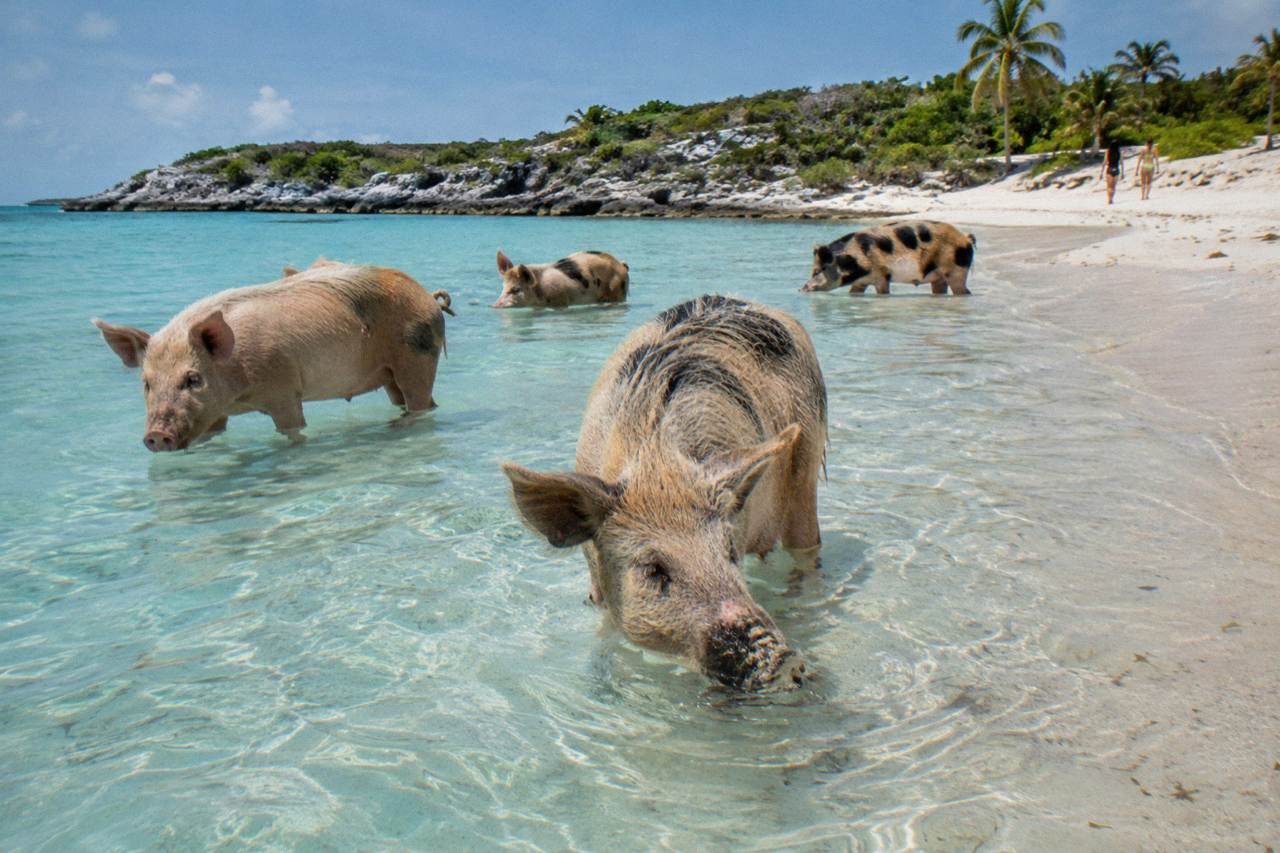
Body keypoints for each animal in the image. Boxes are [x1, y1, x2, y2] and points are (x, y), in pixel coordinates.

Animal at [92, 258, 454, 451]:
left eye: (192, 379)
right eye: (147, 383)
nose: (156, 435)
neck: (239, 393)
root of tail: (427, 295)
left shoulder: (285, 390)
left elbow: (292, 428)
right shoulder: (215, 413)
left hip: (417, 354)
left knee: (422, 401)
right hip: (391, 372)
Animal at [492, 249, 629, 308]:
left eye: (516, 289)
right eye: (503, 287)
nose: (494, 305)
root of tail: (621, 264)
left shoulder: (561, 300)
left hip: (618, 292)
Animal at [502, 295, 828, 692]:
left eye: (728, 552)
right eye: (654, 569)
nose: (781, 660)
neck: (658, 464)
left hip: (808, 464)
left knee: (807, 550)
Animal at [801, 221, 977, 295]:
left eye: (817, 271)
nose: (801, 288)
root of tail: (966, 238)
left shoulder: (882, 275)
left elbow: (883, 292)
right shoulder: (860, 282)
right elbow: (854, 293)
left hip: (956, 269)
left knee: (963, 290)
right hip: (938, 277)